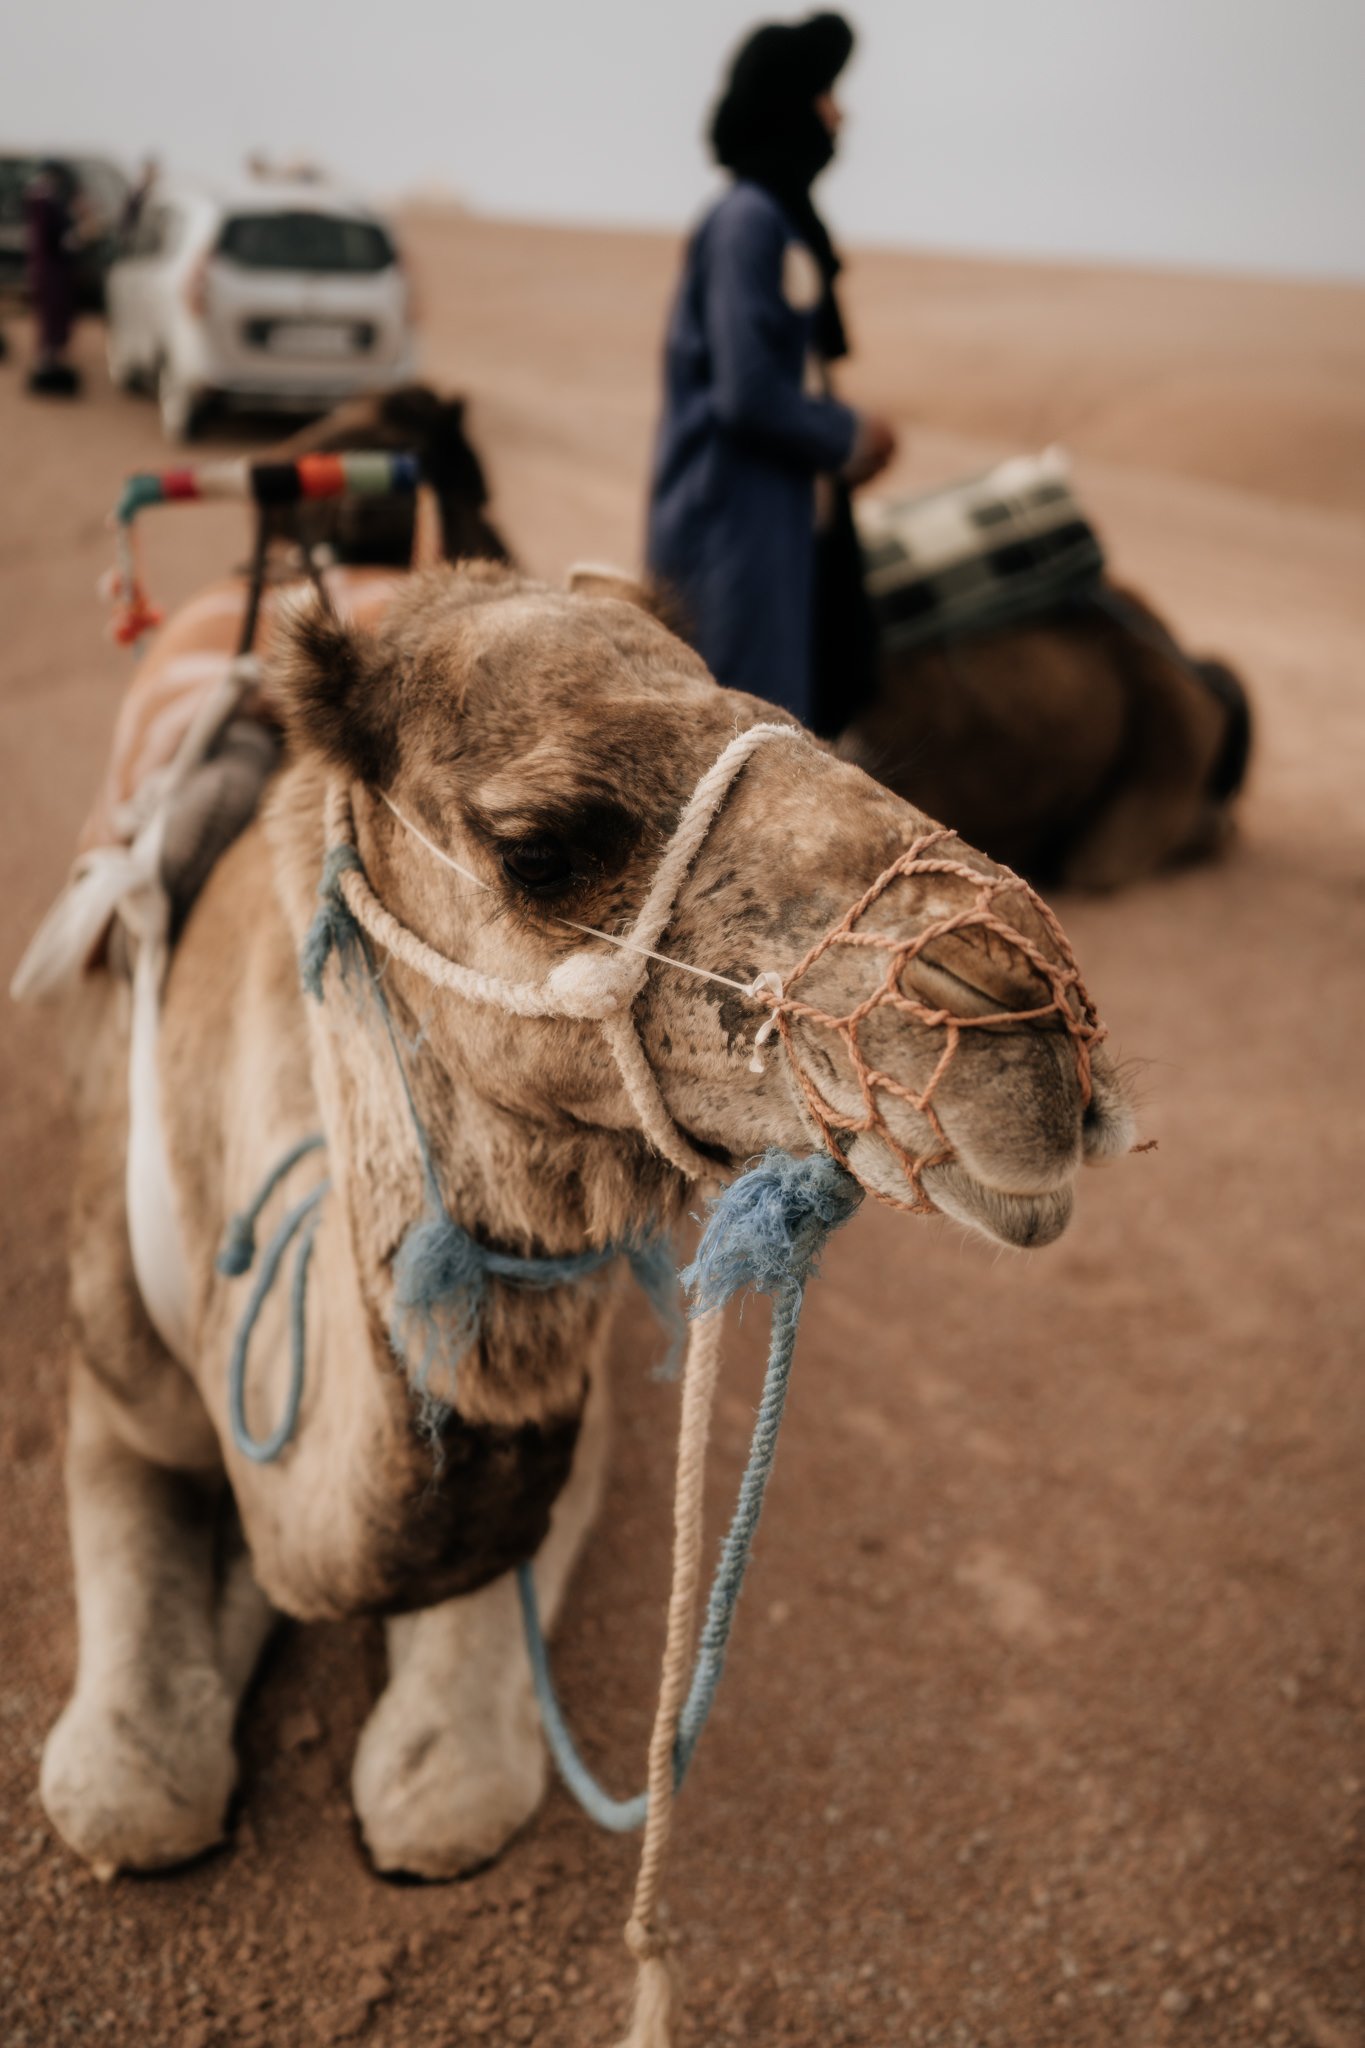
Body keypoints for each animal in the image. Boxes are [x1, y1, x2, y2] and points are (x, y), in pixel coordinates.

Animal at [26, 528, 1137, 1884]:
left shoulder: (587, 1409)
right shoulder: (112, 1380)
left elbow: (448, 1787)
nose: (1032, 1019)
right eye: (539, 847)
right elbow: (130, 1790)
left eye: (792, 724)